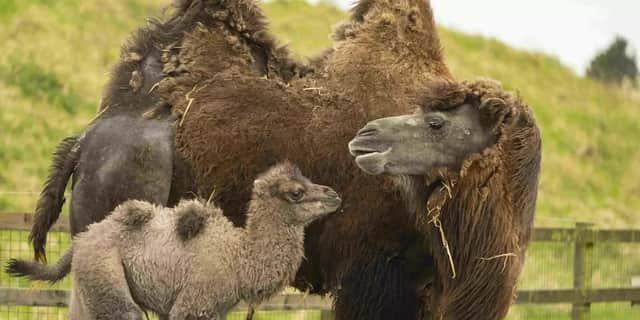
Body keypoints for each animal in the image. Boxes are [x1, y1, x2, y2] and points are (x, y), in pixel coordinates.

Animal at [8, 162, 340, 320]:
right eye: (296, 192)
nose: (334, 194)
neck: (239, 259)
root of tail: (83, 238)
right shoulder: (192, 306)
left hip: (87, 288)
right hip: (106, 277)